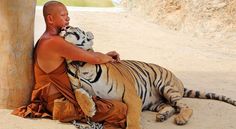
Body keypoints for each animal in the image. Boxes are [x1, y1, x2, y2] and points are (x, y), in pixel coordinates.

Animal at [59, 25, 236, 129]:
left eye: (75, 26)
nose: (66, 26)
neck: (79, 63)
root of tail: (178, 80)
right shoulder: (76, 86)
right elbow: (79, 94)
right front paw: (90, 108)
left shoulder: (131, 95)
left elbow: (132, 118)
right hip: (154, 102)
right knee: (171, 106)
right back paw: (162, 115)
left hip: (166, 87)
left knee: (185, 106)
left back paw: (181, 119)